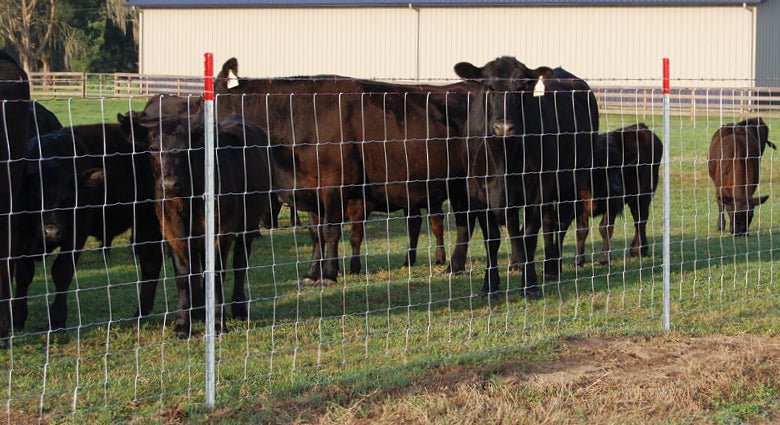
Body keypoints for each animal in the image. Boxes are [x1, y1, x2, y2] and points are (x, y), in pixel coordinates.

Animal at [13, 124, 164, 332]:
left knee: (153, 262)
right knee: (151, 263)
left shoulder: (77, 232)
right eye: (35, 197)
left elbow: (62, 271)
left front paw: (57, 319)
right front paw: (18, 318)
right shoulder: (21, 236)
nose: (51, 231)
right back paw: (141, 313)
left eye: (68, 199)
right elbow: (24, 274)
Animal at [122, 112, 273, 338]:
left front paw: (219, 323)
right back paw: (200, 312)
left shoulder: (222, 231)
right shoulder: (173, 233)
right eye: (153, 148)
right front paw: (182, 324)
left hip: (249, 224)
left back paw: (238, 308)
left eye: (188, 148)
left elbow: (217, 274)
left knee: (240, 263)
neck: (188, 200)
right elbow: (184, 276)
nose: (169, 184)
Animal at [214, 58, 479, 286]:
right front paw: (312, 273)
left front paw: (329, 274)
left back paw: (453, 266)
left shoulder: (335, 186)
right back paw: (454, 266)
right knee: (463, 223)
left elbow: (331, 231)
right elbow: (316, 234)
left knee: (464, 222)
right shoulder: (311, 191)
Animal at [453, 57, 599, 297]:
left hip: (573, 179)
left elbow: (529, 235)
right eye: (488, 87)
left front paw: (529, 285)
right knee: (545, 224)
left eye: (521, 88)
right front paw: (490, 285)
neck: (503, 156)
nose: (503, 127)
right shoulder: (478, 191)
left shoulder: (538, 187)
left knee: (561, 222)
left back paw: (553, 267)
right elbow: (492, 238)